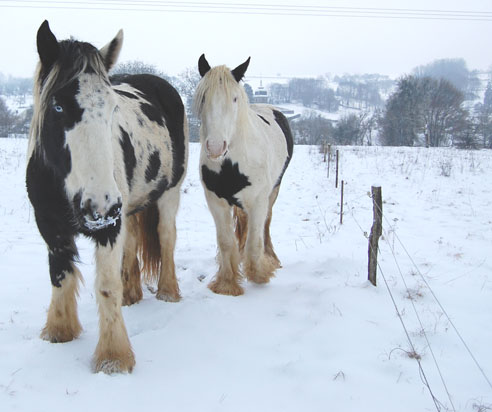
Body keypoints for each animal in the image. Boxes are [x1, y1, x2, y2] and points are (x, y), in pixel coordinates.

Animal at [26, 20, 188, 374]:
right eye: (57, 106)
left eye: (113, 107)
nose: (101, 205)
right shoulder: (50, 227)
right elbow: (60, 276)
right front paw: (59, 332)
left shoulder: (108, 228)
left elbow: (106, 286)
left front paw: (114, 357)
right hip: (128, 208)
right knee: (132, 243)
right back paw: (132, 294)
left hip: (165, 195)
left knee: (166, 237)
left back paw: (168, 292)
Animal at [192, 54, 292, 296]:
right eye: (203, 97)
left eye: (235, 99)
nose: (215, 147)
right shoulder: (216, 201)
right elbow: (226, 241)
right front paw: (227, 283)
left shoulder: (258, 201)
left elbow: (255, 240)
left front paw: (259, 275)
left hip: (273, 191)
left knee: (266, 225)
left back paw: (271, 259)